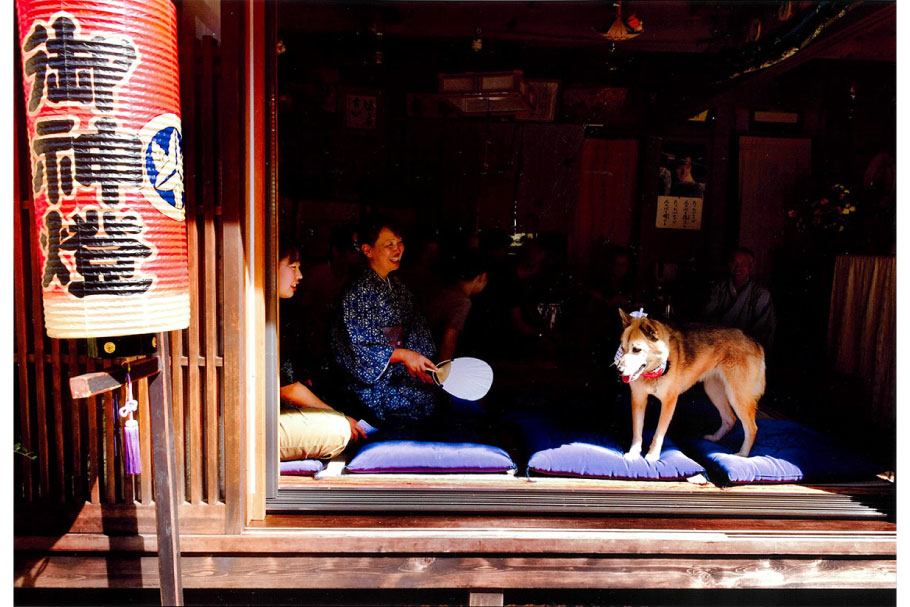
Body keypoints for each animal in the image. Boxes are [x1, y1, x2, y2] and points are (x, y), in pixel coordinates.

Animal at [616, 308, 764, 460]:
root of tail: (755, 342)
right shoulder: (638, 400)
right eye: (623, 348)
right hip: (714, 391)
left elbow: (658, 434)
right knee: (730, 419)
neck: (654, 371)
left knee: (752, 428)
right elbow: (637, 431)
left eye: (636, 349)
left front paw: (653, 454)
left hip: (737, 396)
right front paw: (634, 453)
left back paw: (743, 454)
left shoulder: (669, 403)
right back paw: (715, 438)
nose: (618, 370)